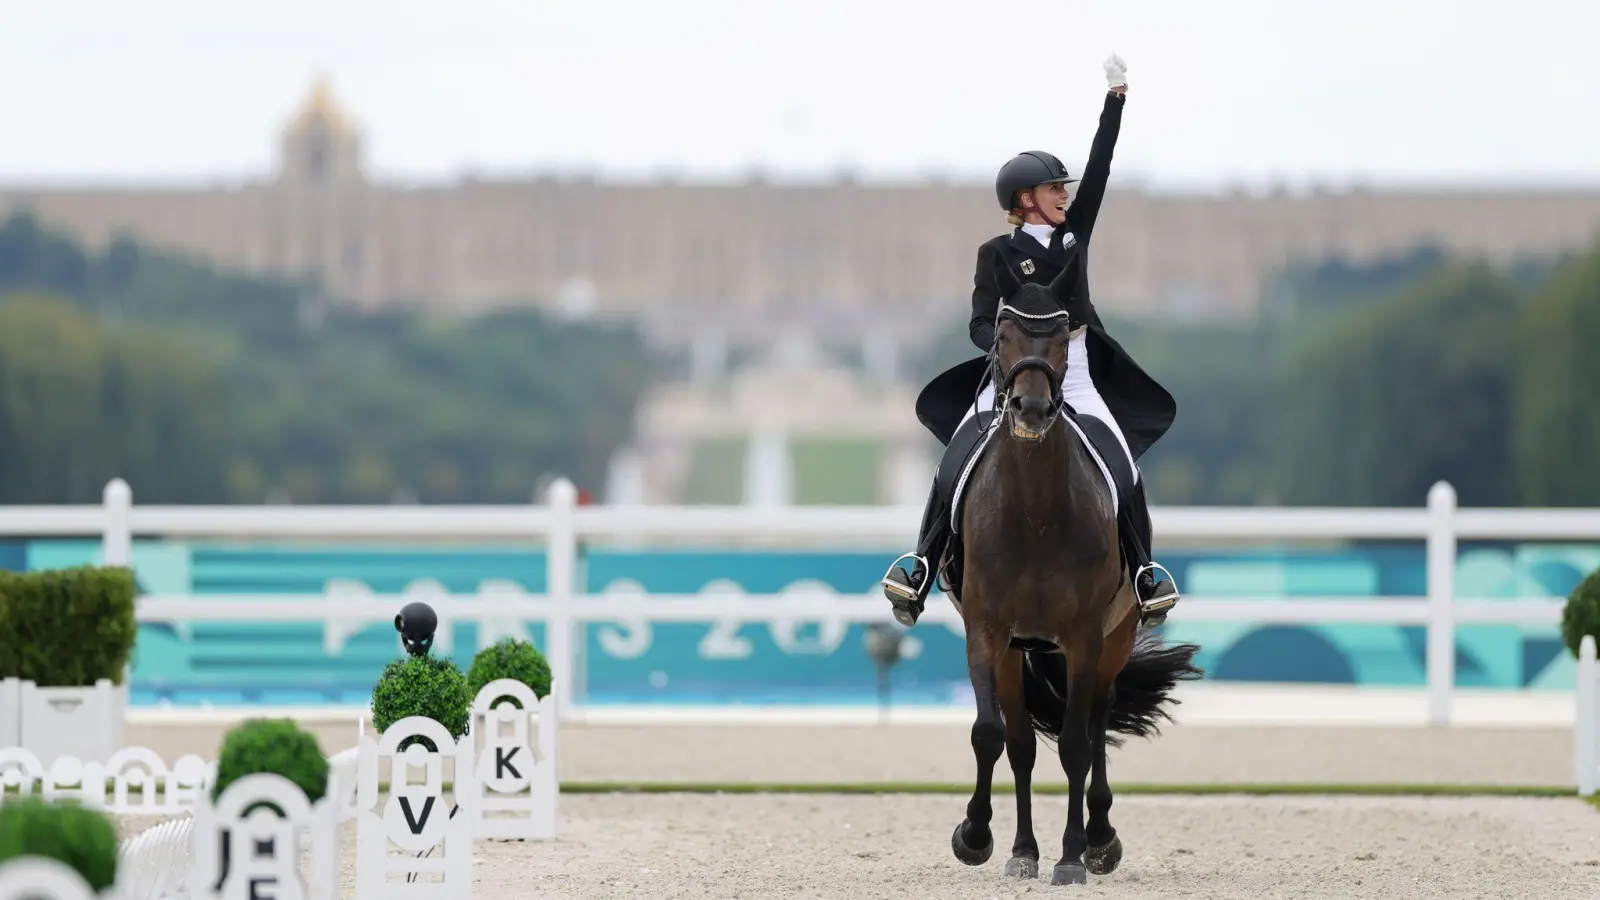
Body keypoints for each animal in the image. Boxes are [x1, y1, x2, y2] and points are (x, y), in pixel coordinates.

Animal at [940, 272, 1196, 883]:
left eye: (1061, 337)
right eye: (1002, 335)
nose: (1031, 409)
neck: (1034, 510)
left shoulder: (1083, 636)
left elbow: (1077, 746)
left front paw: (1073, 856)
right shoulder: (987, 631)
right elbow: (992, 734)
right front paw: (978, 837)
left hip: (1113, 639)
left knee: (1097, 724)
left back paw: (1100, 839)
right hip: (1018, 651)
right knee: (1021, 743)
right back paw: (1024, 849)